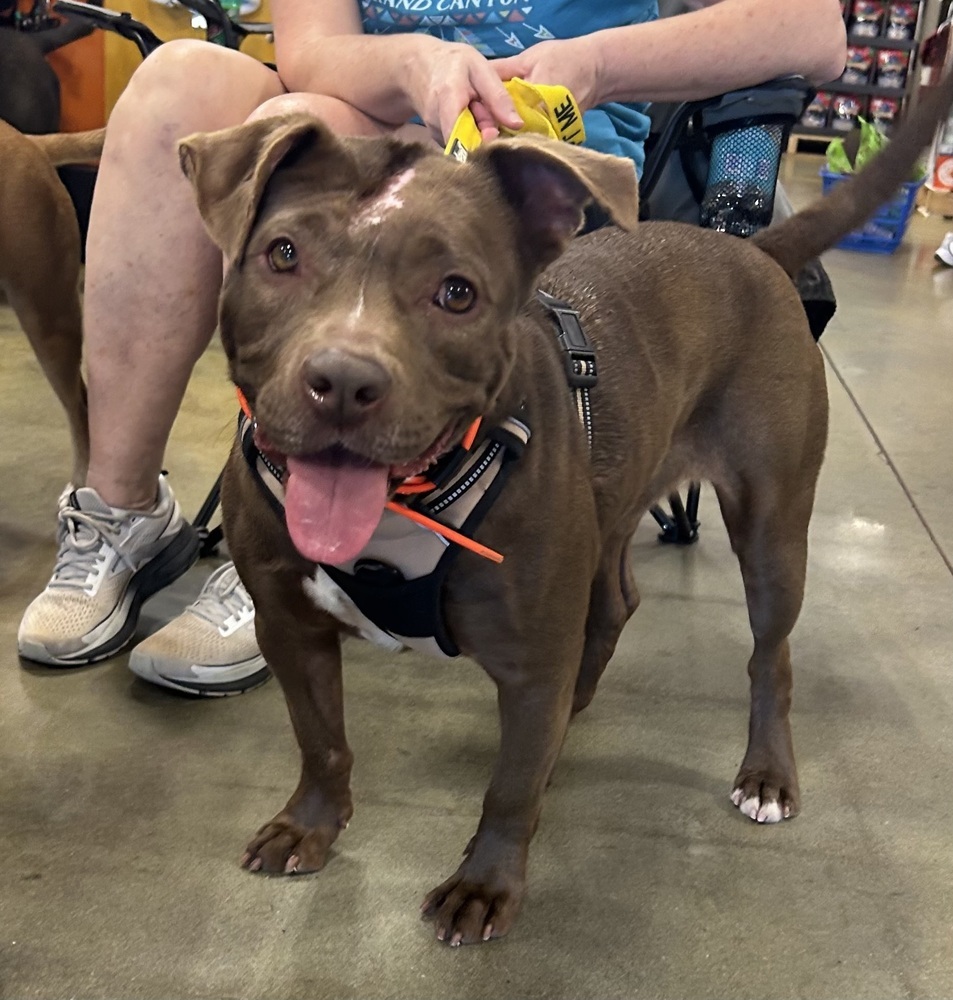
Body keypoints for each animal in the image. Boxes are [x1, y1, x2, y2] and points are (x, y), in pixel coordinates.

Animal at [178, 70, 952, 944]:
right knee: (612, 606)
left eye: (456, 293)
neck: (406, 509)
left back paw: (764, 774)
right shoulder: (288, 626)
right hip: (614, 505)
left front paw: (484, 885)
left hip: (772, 527)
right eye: (283, 254)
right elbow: (319, 739)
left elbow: (509, 789)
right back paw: (574, 709)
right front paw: (309, 824)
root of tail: (750, 250)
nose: (343, 380)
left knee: (768, 657)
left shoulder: (529, 655)